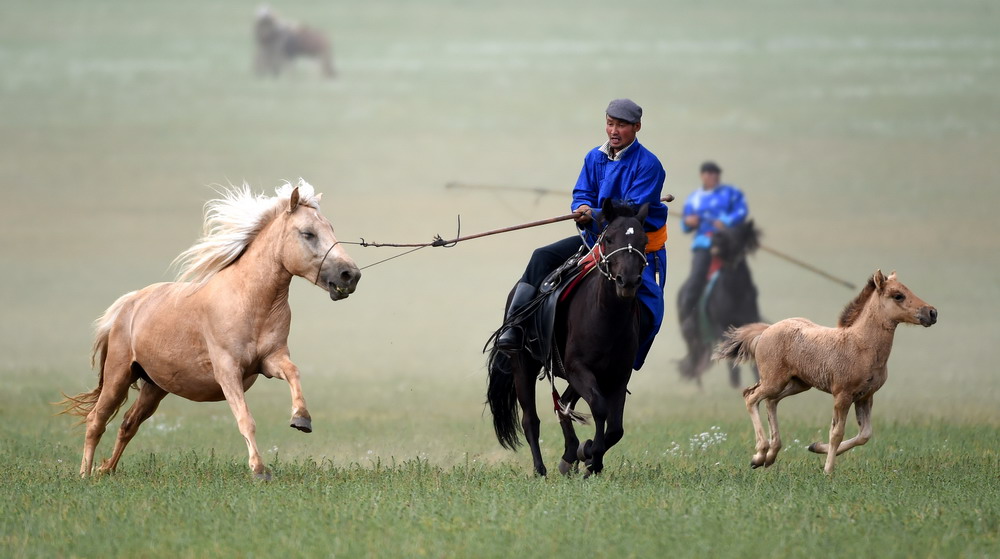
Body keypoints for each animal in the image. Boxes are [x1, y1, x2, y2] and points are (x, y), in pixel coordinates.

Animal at [484, 201, 648, 476]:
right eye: (609, 239)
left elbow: (615, 427)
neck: (607, 319)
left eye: (644, 240)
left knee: (562, 404)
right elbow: (599, 407)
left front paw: (589, 455)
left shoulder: (618, 375)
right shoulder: (578, 368)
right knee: (531, 419)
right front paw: (592, 456)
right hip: (523, 365)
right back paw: (541, 469)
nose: (628, 281)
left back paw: (570, 454)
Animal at [712, 270, 936, 472]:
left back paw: (770, 455)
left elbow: (864, 434)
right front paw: (828, 470)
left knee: (770, 401)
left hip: (798, 383)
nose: (932, 313)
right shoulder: (842, 395)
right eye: (898, 295)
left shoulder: (866, 396)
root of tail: (766, 330)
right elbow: (837, 432)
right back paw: (760, 454)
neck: (861, 345)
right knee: (751, 396)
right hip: (773, 380)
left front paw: (816, 447)